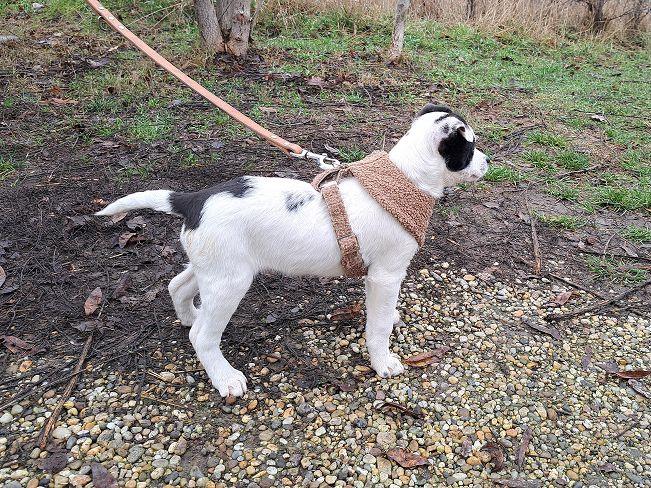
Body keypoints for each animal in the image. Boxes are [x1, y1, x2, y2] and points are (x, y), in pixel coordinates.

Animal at [96, 104, 489, 398]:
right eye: (469, 149)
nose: (488, 162)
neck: (405, 178)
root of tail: (192, 200)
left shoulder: (379, 277)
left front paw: (389, 319)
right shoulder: (386, 274)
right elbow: (376, 328)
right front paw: (383, 362)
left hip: (214, 266)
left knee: (178, 287)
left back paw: (190, 316)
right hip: (230, 282)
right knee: (203, 337)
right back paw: (225, 378)